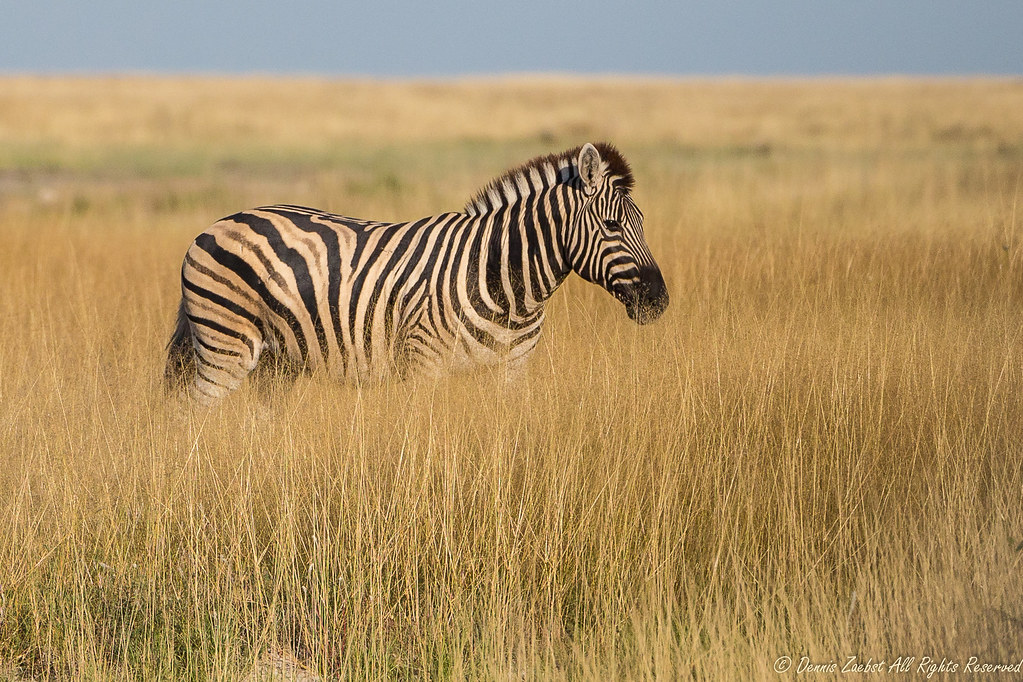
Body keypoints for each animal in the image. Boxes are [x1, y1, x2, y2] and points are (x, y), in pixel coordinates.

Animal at [166, 143, 668, 404]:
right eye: (612, 226)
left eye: (643, 223)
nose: (659, 300)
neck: (507, 286)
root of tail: (217, 223)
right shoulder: (425, 366)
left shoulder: (511, 373)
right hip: (224, 348)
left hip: (277, 363)